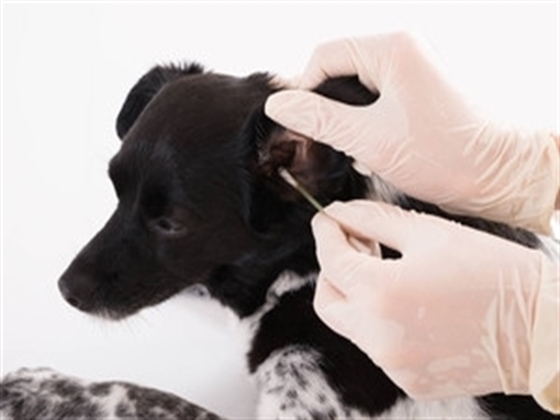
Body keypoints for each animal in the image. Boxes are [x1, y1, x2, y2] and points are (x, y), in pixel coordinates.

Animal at [2, 64, 556, 418]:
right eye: (116, 192)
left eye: (171, 223)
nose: (65, 289)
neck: (305, 268)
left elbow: (141, 395)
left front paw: (40, 387)